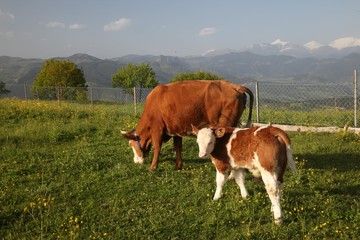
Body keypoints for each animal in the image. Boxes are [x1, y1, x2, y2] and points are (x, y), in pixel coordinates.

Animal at [121, 79, 253, 172]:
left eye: (131, 144)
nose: (136, 161)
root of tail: (234, 86)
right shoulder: (175, 129)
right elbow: (178, 147)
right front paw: (178, 166)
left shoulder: (157, 128)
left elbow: (157, 147)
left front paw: (153, 167)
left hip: (225, 124)